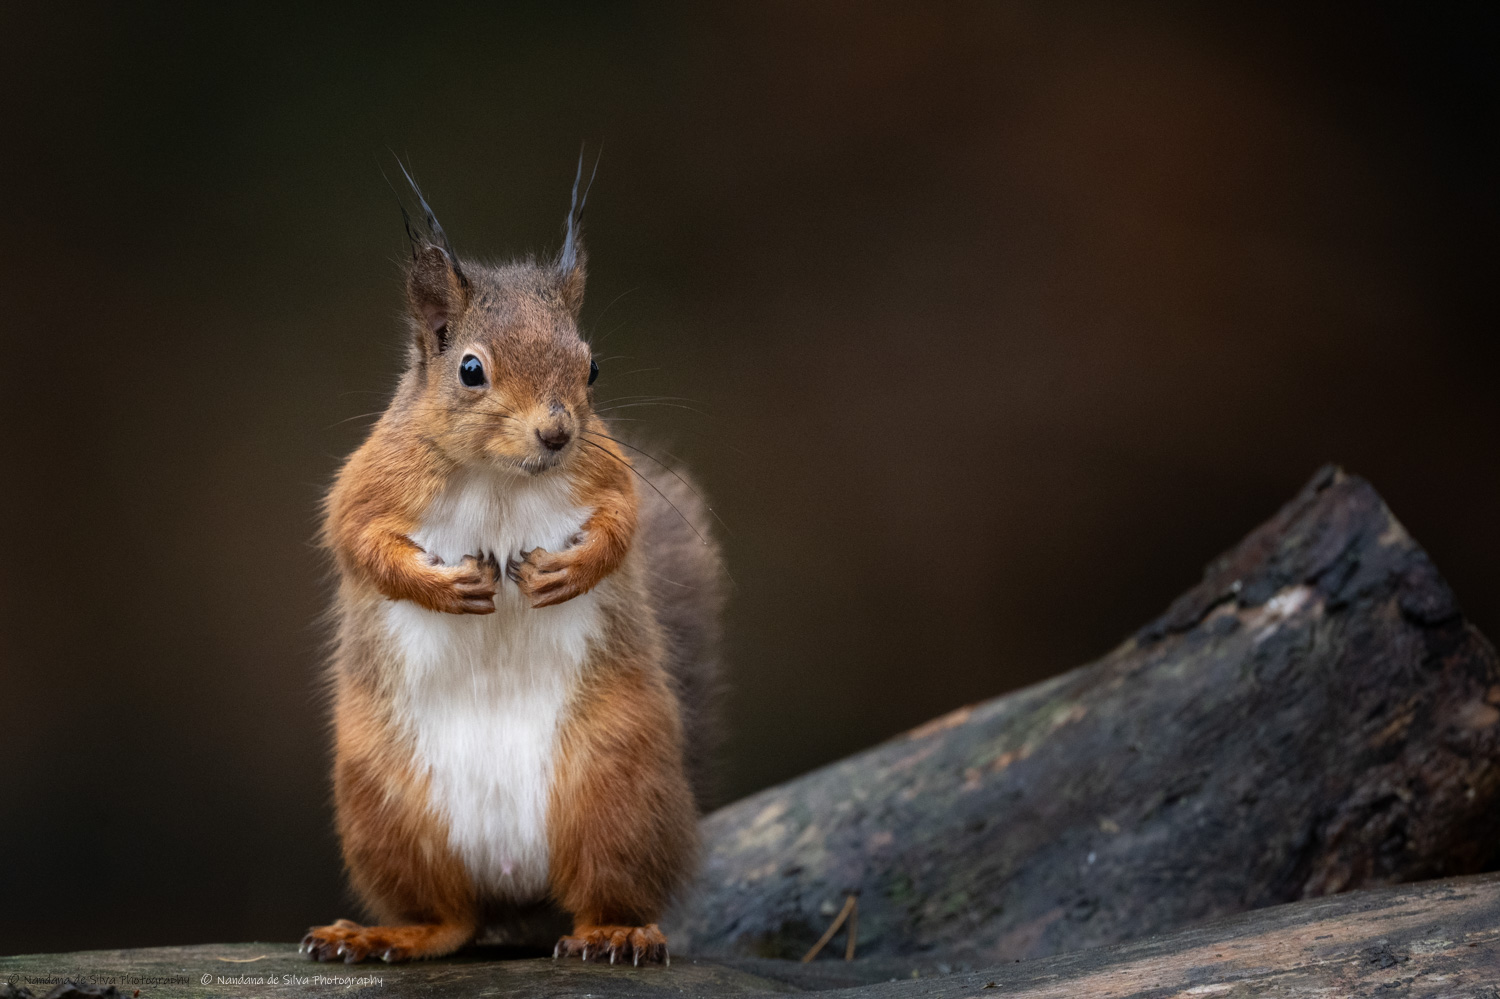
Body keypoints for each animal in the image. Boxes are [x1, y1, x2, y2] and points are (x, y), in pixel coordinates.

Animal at [301, 166, 723, 966]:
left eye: (592, 366)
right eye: (470, 369)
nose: (557, 433)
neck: (499, 477)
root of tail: (515, 888)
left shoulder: (606, 471)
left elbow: (622, 526)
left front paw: (568, 573)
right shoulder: (368, 483)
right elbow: (356, 541)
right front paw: (447, 586)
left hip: (617, 788)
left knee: (603, 890)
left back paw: (616, 931)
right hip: (388, 811)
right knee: (451, 918)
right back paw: (385, 933)